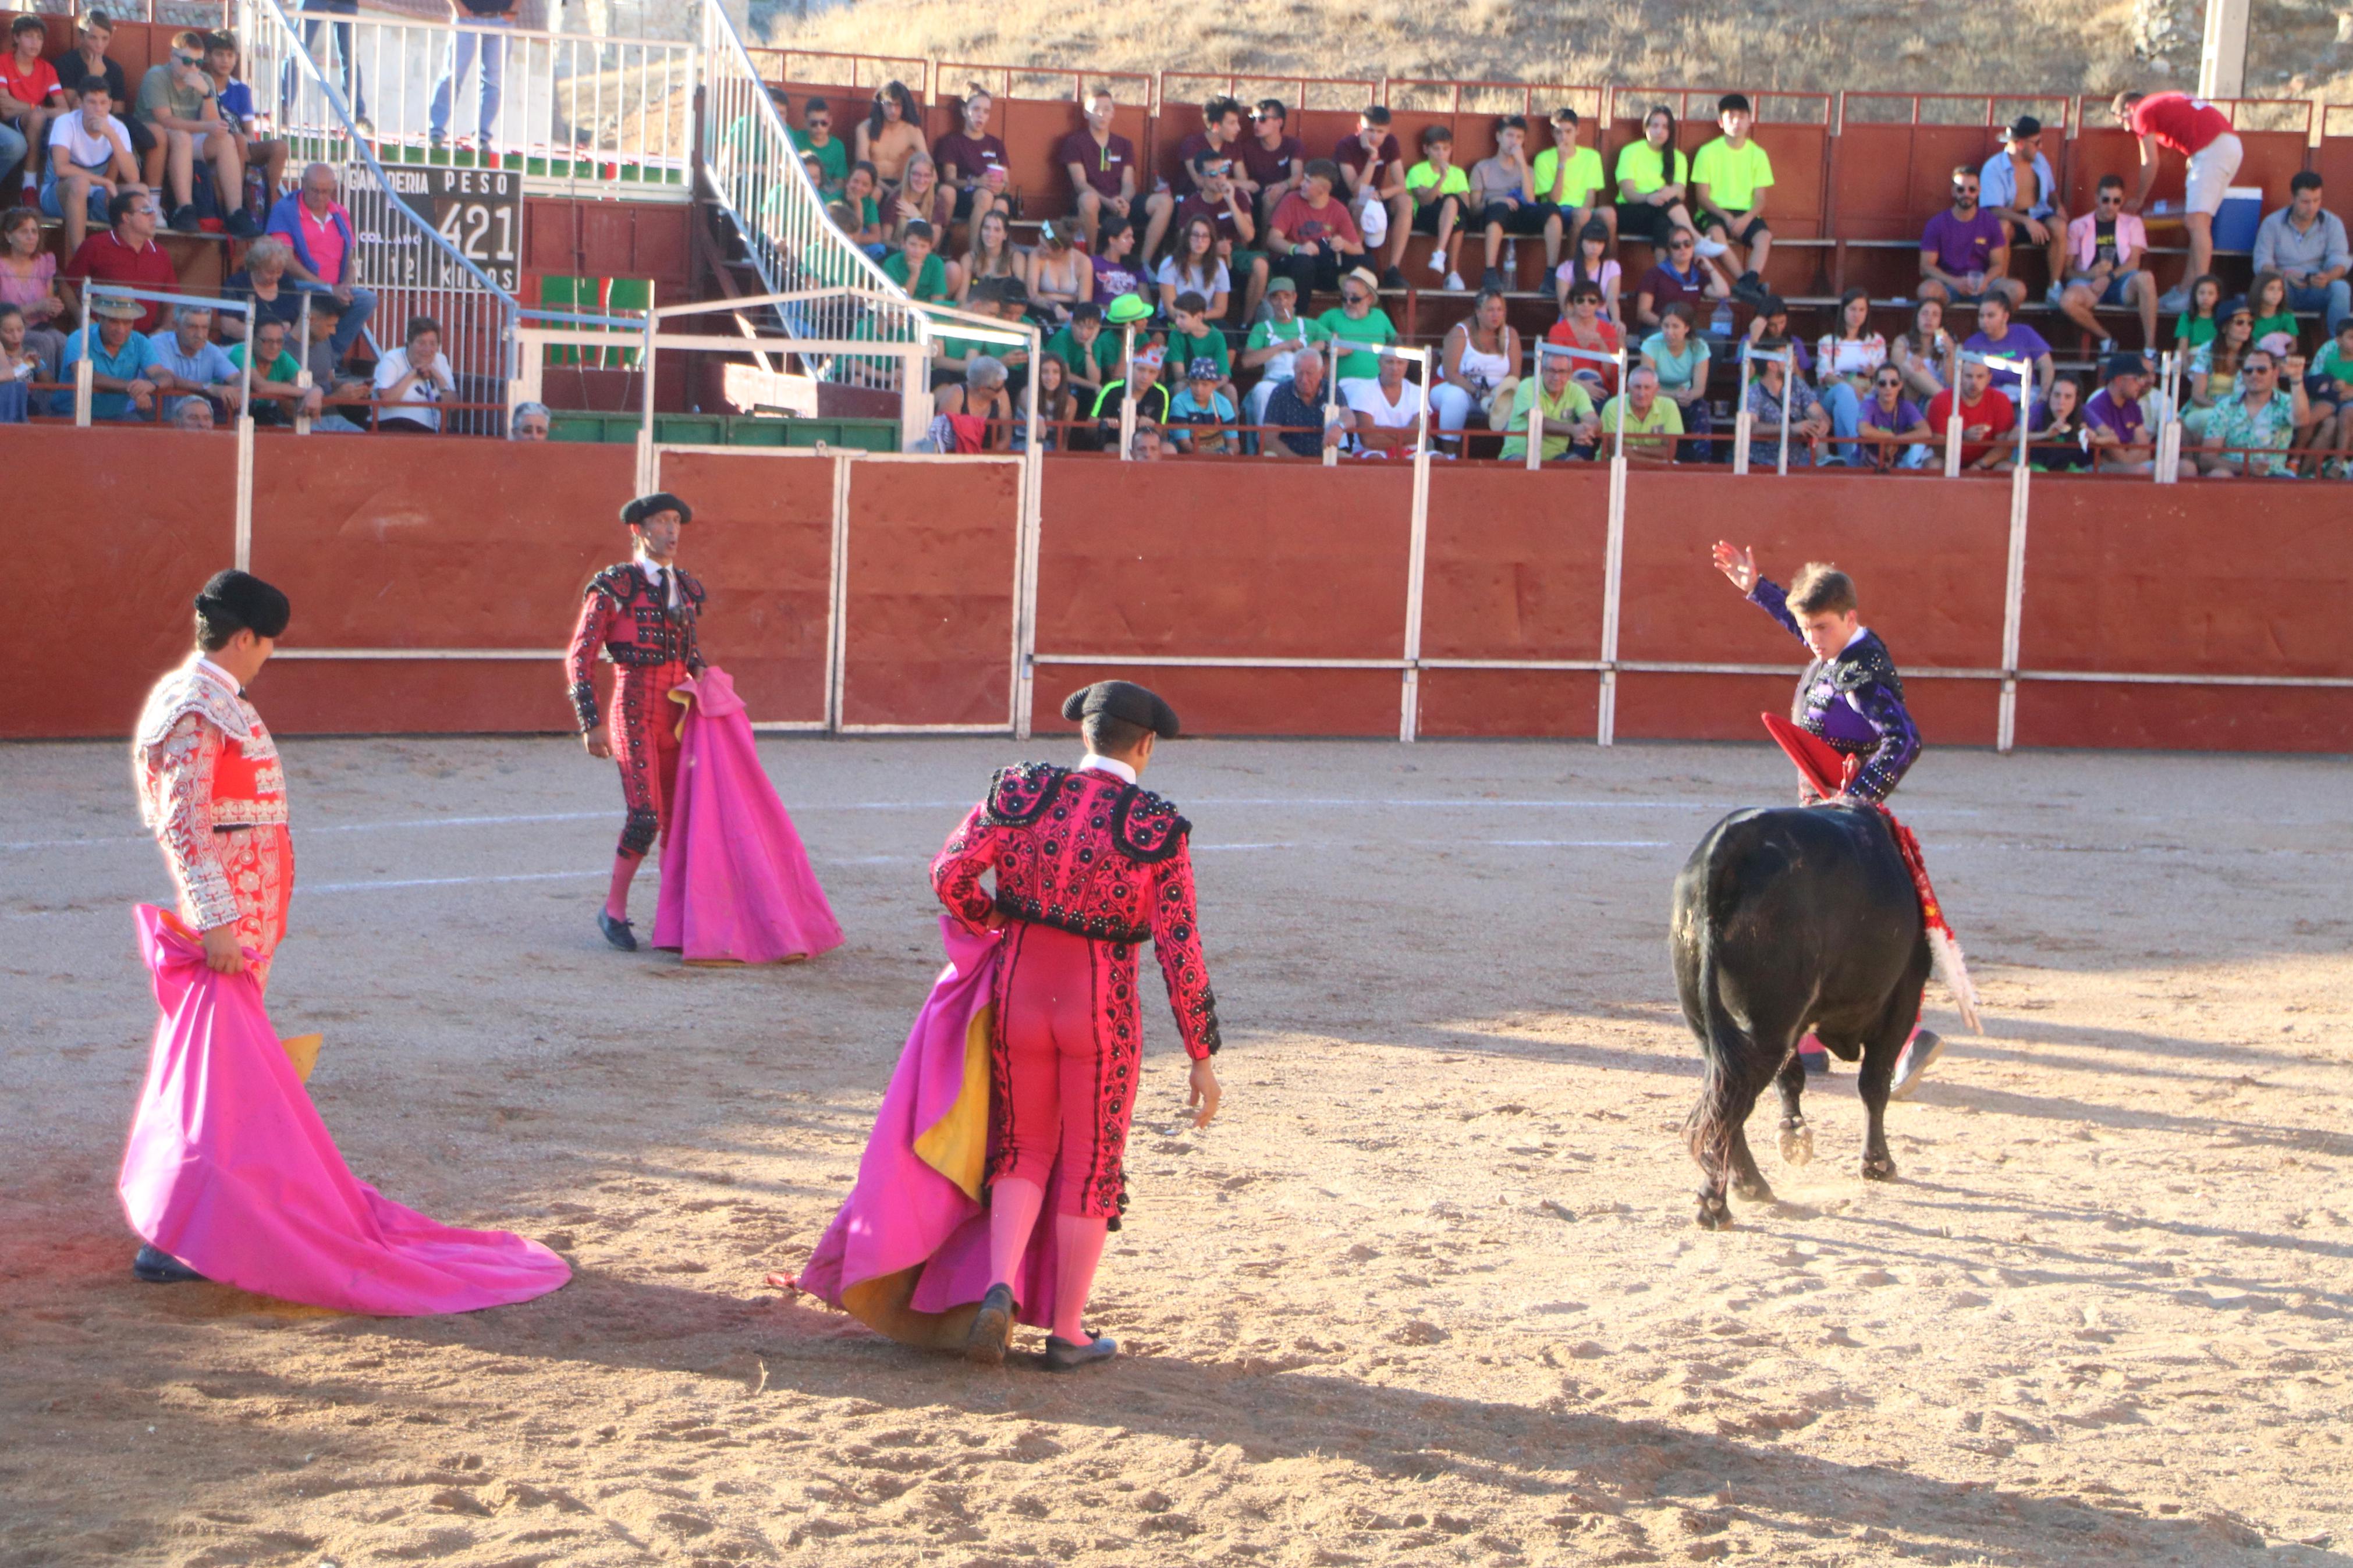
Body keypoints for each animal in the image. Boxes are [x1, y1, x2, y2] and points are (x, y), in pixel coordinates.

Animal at [1666, 803, 1920, 1232]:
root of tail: (1730, 845)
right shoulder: (1900, 1001)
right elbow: (1874, 1084)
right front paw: (1877, 1164)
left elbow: (1792, 1076)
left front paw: (1794, 1132)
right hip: (1768, 1024)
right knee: (1730, 1103)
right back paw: (1717, 1204)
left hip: (1711, 1025)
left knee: (1723, 1093)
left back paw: (1746, 1186)